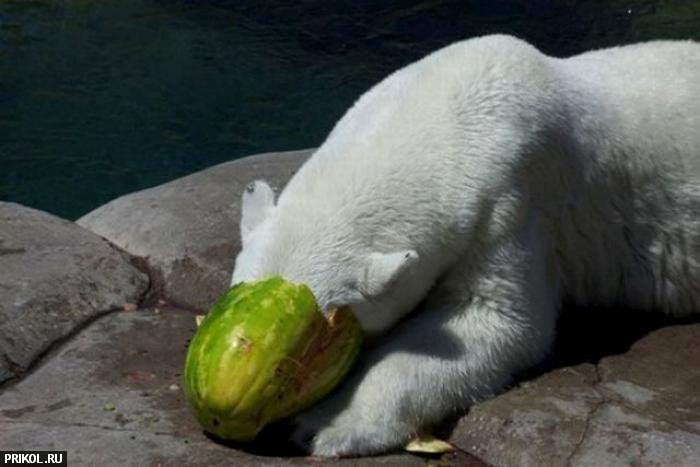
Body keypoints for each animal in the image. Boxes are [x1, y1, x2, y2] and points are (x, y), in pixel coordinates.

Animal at [230, 34, 700, 457]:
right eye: (237, 295)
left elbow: (495, 320)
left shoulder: (512, 202)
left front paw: (323, 423)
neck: (443, 113)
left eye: (320, 335)